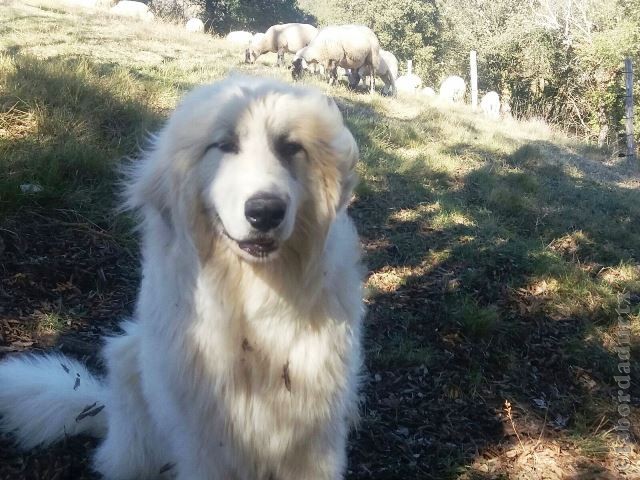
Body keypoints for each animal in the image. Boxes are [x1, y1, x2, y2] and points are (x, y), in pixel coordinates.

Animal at [0, 75, 364, 480]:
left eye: (290, 147)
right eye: (224, 145)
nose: (266, 211)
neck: (251, 300)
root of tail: (105, 412)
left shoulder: (313, 440)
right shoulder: (207, 445)